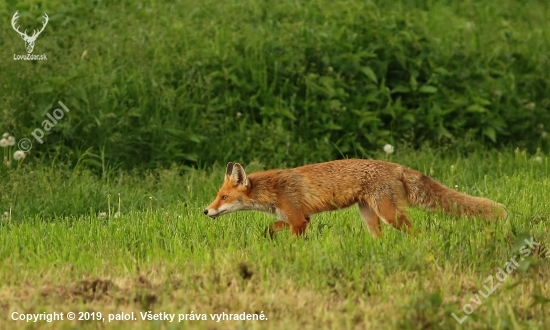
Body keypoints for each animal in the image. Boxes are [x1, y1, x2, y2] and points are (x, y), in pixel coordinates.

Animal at [205, 159, 512, 237]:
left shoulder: (299, 220)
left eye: (223, 196)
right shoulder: (296, 217)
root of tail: (396, 166)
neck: (273, 189)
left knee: (415, 232)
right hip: (369, 215)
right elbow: (271, 229)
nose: (205, 212)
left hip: (389, 214)